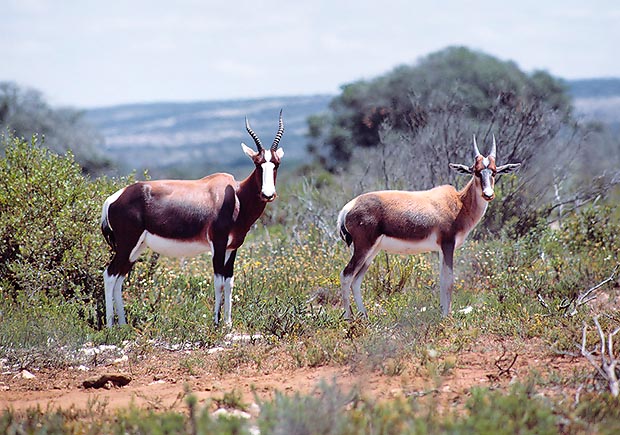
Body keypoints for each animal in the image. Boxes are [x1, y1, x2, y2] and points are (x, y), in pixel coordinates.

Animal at [101, 112, 286, 328]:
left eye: (276, 164)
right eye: (257, 163)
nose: (268, 194)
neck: (235, 194)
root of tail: (113, 198)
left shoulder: (233, 247)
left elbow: (229, 282)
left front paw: (228, 323)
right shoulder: (218, 245)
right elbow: (218, 281)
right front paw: (216, 323)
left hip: (136, 248)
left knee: (120, 277)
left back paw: (123, 324)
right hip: (127, 245)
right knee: (110, 274)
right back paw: (110, 326)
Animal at [336, 138, 520, 318]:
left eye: (494, 172)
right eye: (476, 171)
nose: (488, 194)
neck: (458, 202)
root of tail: (348, 208)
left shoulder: (441, 249)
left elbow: (442, 279)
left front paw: (443, 313)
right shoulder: (448, 244)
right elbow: (449, 279)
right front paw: (446, 317)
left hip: (372, 251)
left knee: (356, 280)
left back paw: (364, 316)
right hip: (364, 248)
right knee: (346, 275)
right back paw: (348, 318)